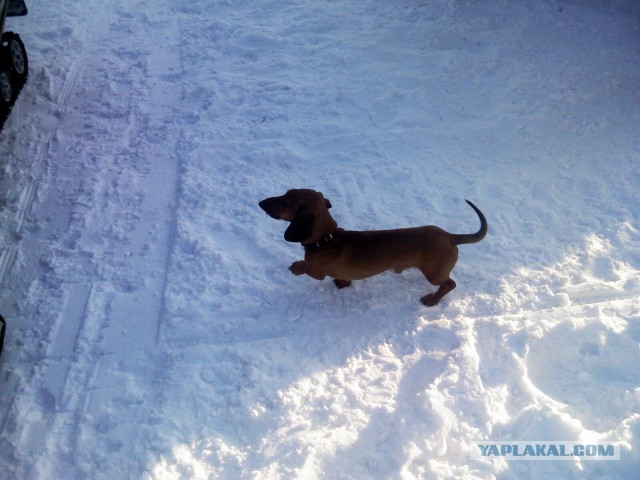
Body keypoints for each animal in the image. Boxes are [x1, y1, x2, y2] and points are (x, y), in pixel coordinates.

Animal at [258, 189, 488, 306]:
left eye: (286, 200)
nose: (260, 202)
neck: (327, 239)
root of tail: (449, 236)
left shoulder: (317, 272)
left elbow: (305, 267)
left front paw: (296, 266)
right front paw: (342, 282)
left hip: (434, 274)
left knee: (450, 284)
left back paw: (432, 299)